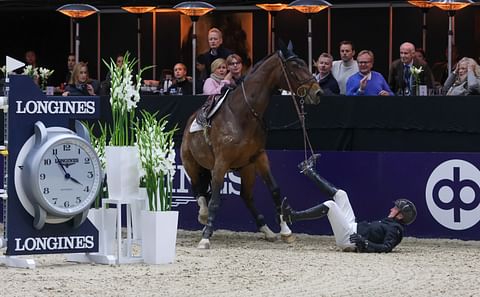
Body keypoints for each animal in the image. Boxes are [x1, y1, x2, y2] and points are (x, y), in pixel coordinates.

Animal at [180, 45, 322, 247]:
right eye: (295, 65)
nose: (318, 92)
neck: (242, 114)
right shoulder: (221, 162)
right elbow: (214, 200)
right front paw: (206, 236)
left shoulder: (259, 157)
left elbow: (275, 190)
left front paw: (286, 231)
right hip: (191, 164)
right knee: (198, 190)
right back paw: (204, 215)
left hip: (246, 168)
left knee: (246, 196)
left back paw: (266, 230)